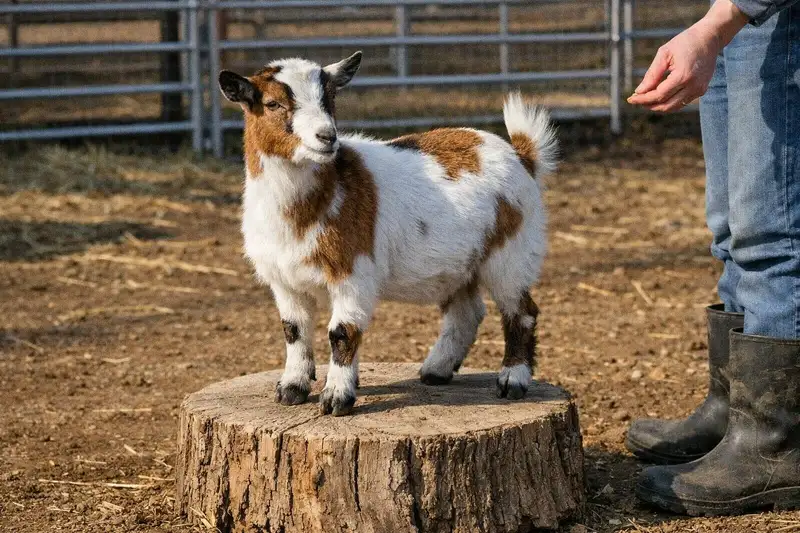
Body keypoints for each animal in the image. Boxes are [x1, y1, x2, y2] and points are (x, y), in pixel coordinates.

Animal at [219, 52, 557, 416]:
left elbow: (342, 332)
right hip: (460, 267)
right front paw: (292, 389)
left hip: (512, 251)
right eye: (272, 103)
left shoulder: (352, 272)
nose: (327, 137)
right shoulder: (284, 281)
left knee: (521, 311)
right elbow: (294, 331)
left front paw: (336, 398)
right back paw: (436, 370)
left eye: (331, 98)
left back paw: (512, 380)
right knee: (466, 313)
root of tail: (521, 155)